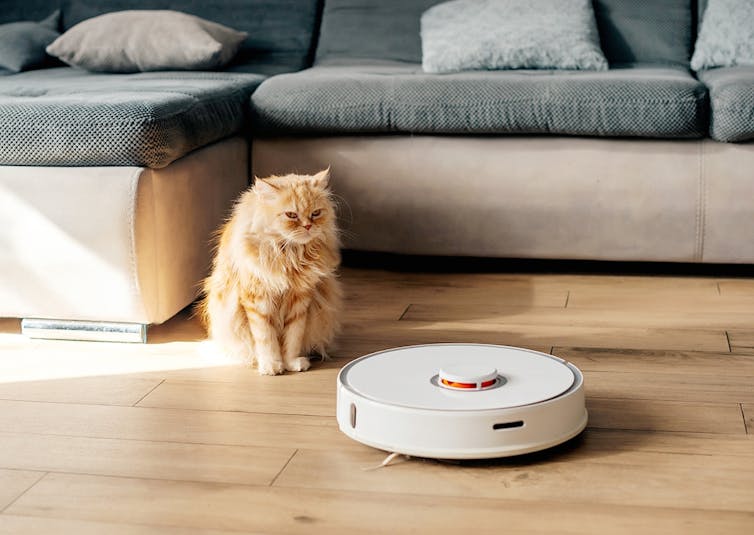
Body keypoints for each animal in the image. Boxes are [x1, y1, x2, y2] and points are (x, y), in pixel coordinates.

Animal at [200, 170, 340, 374]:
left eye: (316, 213)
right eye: (291, 215)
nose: (308, 226)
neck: (291, 254)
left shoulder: (300, 300)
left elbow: (294, 337)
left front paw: (292, 363)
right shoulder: (257, 300)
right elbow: (266, 338)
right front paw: (271, 365)